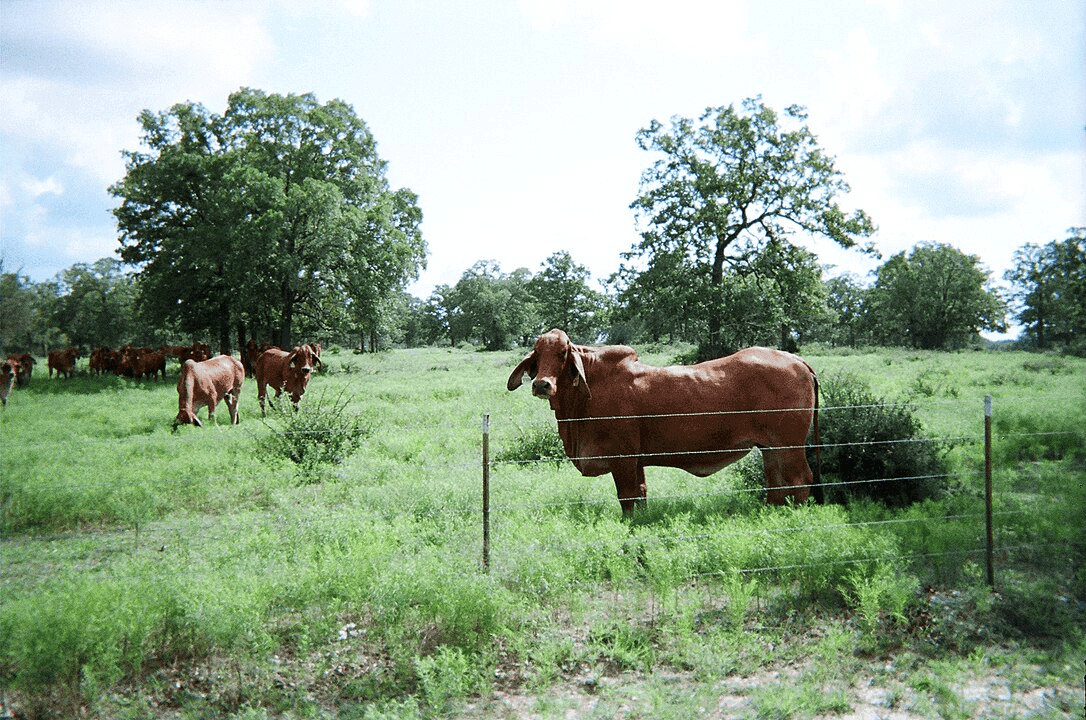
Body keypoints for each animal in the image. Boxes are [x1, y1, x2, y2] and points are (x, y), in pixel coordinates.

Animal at [508, 330, 821, 514]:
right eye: (538, 355)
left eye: (562, 353)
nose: (542, 384)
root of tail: (796, 360)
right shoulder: (636, 462)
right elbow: (641, 496)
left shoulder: (623, 459)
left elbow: (627, 498)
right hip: (770, 448)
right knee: (777, 484)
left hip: (789, 446)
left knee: (800, 480)